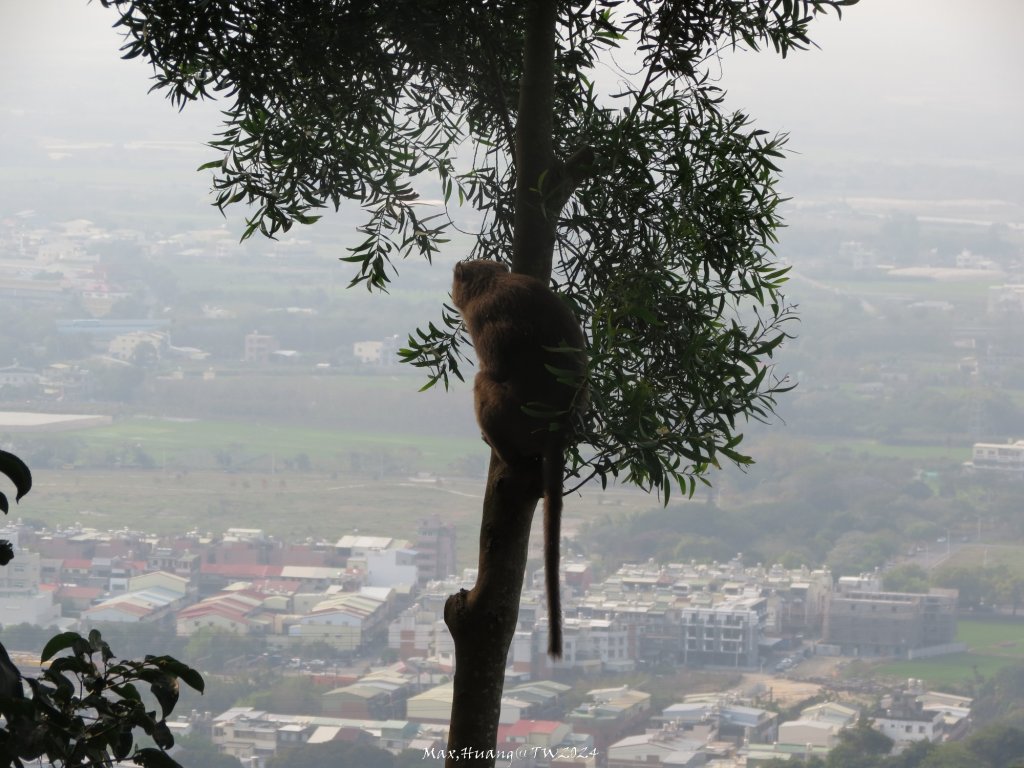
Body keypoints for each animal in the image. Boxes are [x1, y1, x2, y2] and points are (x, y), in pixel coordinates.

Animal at [452, 262, 589, 659]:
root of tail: (558, 430)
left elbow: (494, 369)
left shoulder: (483, 316)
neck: (493, 281)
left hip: (515, 416)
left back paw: (503, 451)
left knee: (484, 383)